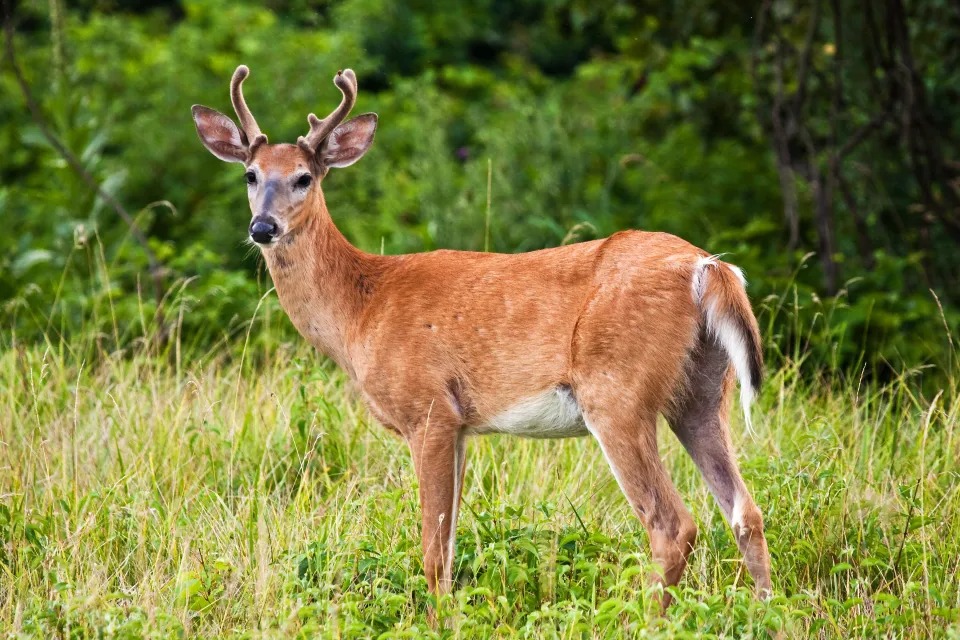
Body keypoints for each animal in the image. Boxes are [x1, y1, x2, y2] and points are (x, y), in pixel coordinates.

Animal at [193, 65, 772, 616]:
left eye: (304, 178)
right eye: (250, 174)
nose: (263, 227)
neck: (361, 309)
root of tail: (709, 269)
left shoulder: (428, 410)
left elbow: (432, 548)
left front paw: (438, 623)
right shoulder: (461, 426)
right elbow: (449, 545)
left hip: (617, 390)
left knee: (672, 525)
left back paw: (644, 620)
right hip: (701, 393)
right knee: (746, 510)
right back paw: (766, 609)